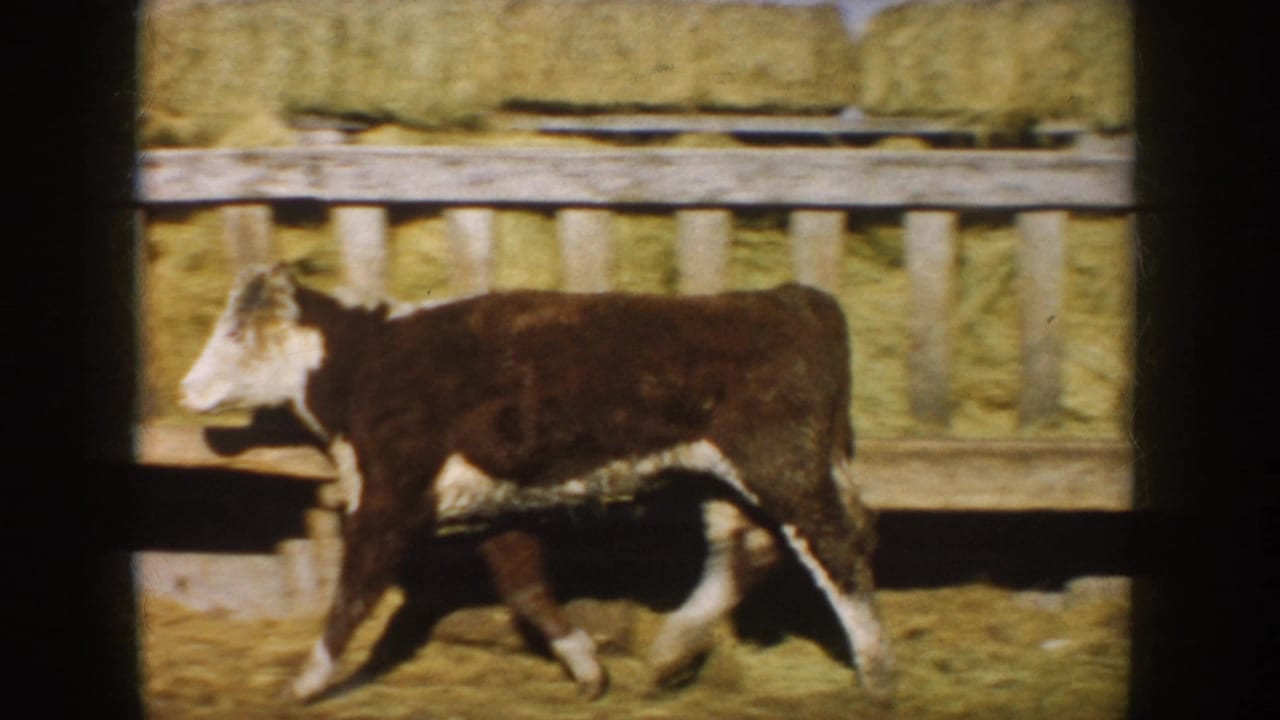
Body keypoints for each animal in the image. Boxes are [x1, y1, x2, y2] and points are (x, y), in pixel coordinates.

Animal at [179, 264, 894, 705]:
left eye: (235, 331)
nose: (187, 389)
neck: (362, 363)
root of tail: (790, 299)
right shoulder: (494, 509)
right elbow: (526, 589)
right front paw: (587, 669)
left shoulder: (388, 498)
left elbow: (352, 596)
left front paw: (302, 684)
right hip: (727, 475)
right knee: (748, 549)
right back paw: (669, 654)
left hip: (783, 464)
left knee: (837, 550)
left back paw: (876, 676)